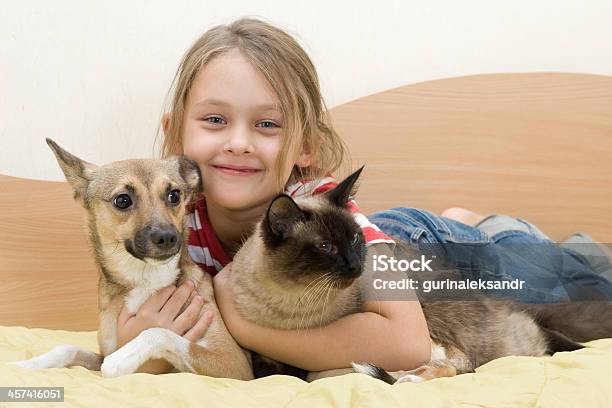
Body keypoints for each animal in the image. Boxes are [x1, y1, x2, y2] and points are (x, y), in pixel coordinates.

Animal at [14, 139, 253, 380]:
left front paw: (121, 359)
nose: (167, 237)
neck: (145, 278)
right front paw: (28, 364)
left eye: (174, 195)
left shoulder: (233, 362)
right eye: (122, 200)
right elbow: (67, 348)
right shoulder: (104, 351)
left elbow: (158, 332)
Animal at [231, 167, 612, 384]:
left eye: (354, 239)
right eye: (325, 247)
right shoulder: (269, 361)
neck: (290, 311)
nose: (356, 266)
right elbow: (278, 372)